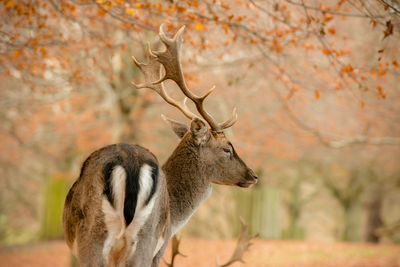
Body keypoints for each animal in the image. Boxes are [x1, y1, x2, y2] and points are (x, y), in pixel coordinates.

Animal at [62, 24, 256, 267]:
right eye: (227, 148)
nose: (253, 175)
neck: (175, 214)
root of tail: (131, 165)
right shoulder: (160, 248)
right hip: (127, 237)